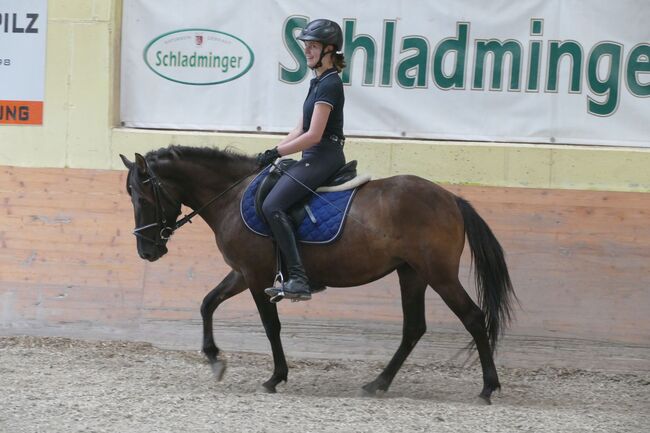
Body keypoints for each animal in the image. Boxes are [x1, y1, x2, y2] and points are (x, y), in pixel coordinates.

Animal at [120, 145, 516, 402]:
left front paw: (275, 377)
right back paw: (377, 384)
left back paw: (487, 388)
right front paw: (215, 359)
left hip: (439, 274)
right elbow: (207, 303)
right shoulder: (243, 273)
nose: (146, 252)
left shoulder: (255, 276)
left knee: (473, 317)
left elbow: (271, 326)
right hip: (412, 273)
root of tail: (452, 199)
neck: (231, 197)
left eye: (142, 198)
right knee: (414, 328)